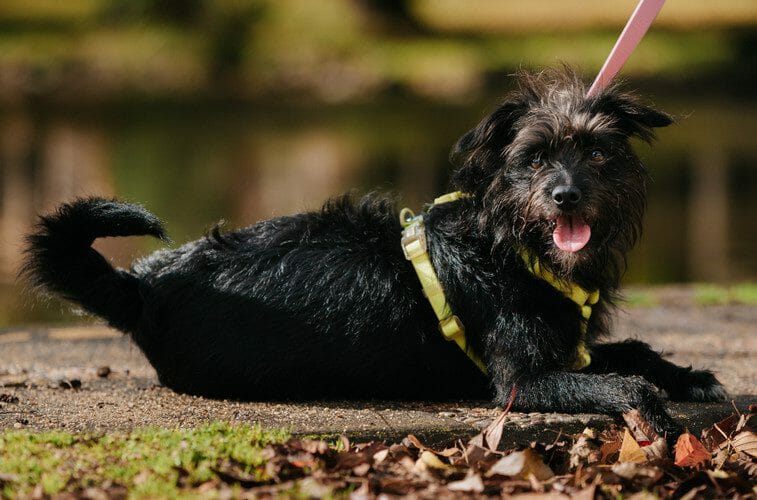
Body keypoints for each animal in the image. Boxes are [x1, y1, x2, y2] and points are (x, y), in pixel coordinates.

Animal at [22, 67, 728, 438]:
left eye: (598, 153)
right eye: (533, 158)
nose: (565, 195)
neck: (510, 245)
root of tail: (145, 285)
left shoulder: (568, 348)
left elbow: (633, 352)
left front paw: (689, 375)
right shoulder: (521, 383)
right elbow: (620, 381)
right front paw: (653, 406)